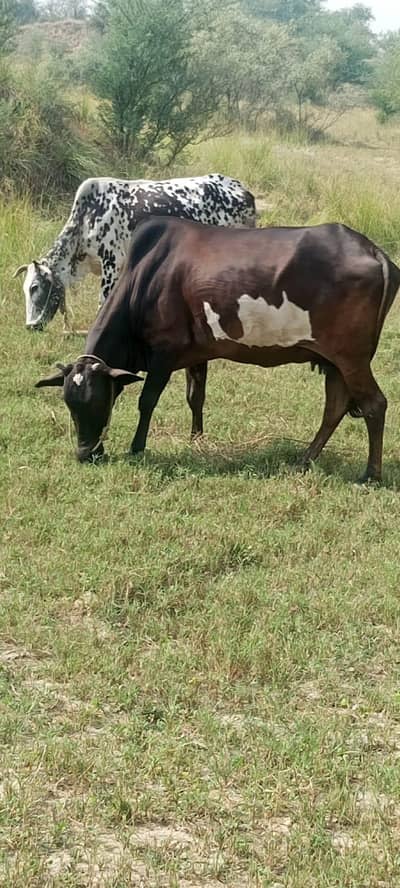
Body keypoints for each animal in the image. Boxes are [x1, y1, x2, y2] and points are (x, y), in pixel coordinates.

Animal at [35, 217, 400, 482]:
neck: (146, 274)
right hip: (333, 360)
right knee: (335, 407)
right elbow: (195, 397)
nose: (85, 453)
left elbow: (147, 401)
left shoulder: (164, 352)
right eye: (69, 404)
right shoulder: (195, 355)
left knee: (374, 404)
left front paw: (137, 447)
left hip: (351, 358)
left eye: (98, 401)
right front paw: (196, 438)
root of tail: (375, 252)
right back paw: (304, 459)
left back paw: (371, 474)